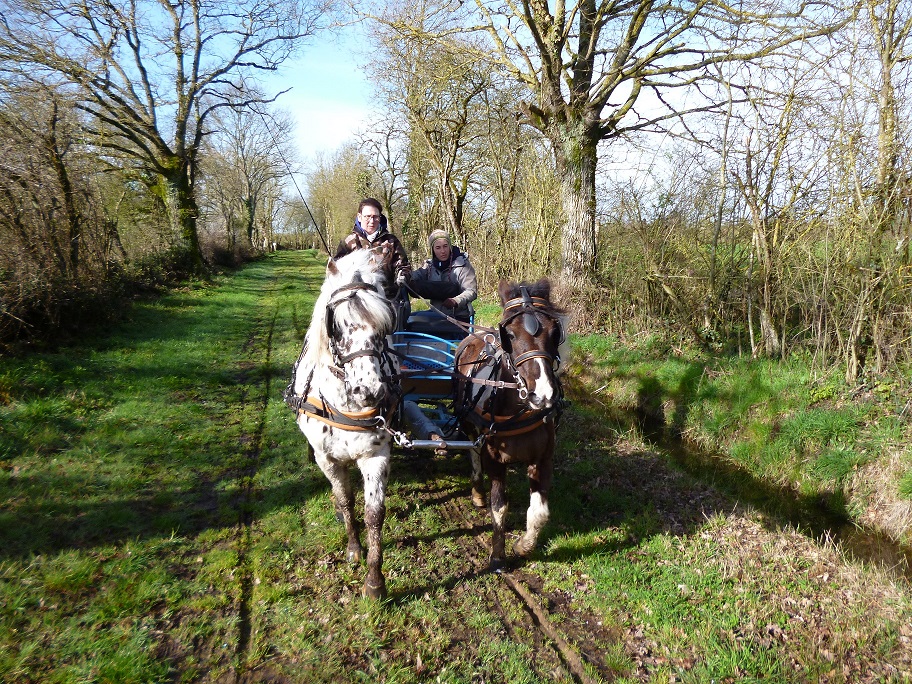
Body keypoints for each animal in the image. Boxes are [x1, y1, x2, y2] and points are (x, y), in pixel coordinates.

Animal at [284, 244, 399, 599]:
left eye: (384, 327)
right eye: (336, 324)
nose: (369, 390)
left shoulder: (376, 455)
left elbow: (374, 514)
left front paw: (375, 581)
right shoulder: (329, 459)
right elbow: (345, 500)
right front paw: (353, 548)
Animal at [454, 278, 567, 570]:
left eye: (554, 332)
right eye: (511, 335)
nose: (543, 394)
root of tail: (476, 335)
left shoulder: (542, 459)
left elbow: (540, 512)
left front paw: (524, 546)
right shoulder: (495, 460)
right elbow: (499, 508)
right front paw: (497, 556)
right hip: (468, 423)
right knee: (472, 452)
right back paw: (477, 491)